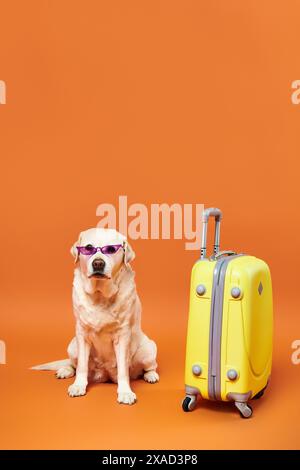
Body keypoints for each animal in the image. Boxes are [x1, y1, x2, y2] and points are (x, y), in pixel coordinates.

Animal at [31, 228, 159, 404]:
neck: (100, 295)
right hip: (72, 346)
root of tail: (106, 375)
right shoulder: (82, 334)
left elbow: (123, 370)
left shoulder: (123, 335)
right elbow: (82, 367)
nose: (98, 263)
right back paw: (65, 370)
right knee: (74, 364)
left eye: (111, 249)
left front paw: (125, 392)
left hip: (148, 350)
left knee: (149, 367)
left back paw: (151, 375)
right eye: (89, 248)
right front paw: (78, 385)